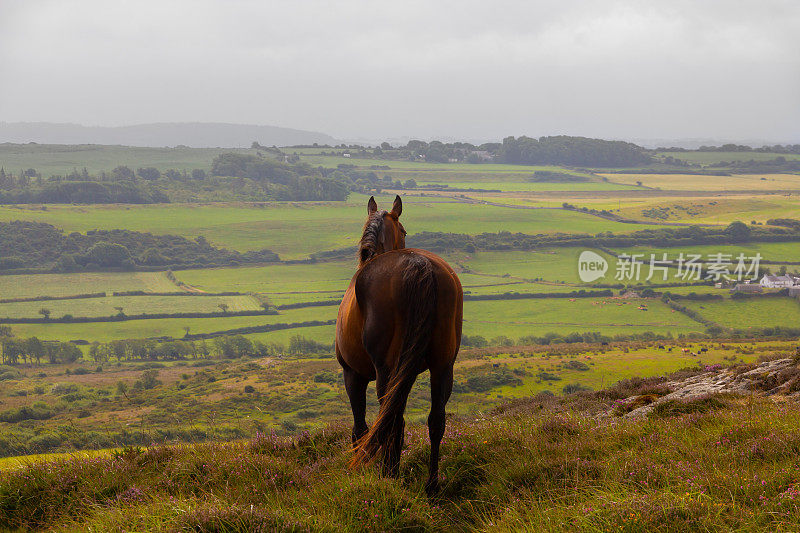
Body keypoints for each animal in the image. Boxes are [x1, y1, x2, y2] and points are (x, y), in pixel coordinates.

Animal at [336, 193, 462, 492]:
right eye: (404, 231)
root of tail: (418, 265)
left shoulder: (353, 375)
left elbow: (360, 428)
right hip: (442, 366)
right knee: (435, 420)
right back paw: (431, 485)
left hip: (385, 370)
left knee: (389, 420)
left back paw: (389, 474)